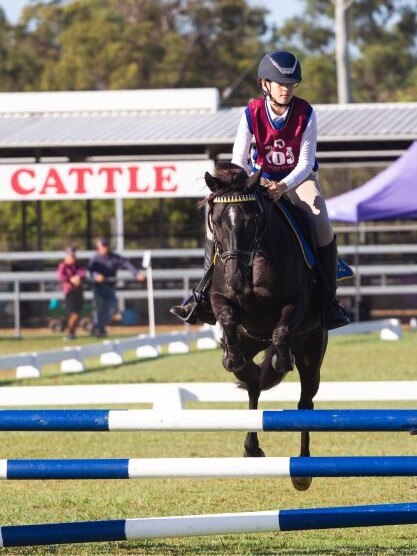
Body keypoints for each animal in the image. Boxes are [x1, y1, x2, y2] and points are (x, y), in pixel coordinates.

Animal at [202, 162, 328, 490]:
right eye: (215, 222)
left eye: (253, 219)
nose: (235, 278)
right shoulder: (220, 298)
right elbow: (227, 316)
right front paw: (230, 357)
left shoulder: (296, 302)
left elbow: (282, 330)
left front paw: (281, 360)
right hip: (250, 342)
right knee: (253, 386)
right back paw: (251, 447)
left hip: (312, 352)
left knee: (304, 405)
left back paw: (303, 472)